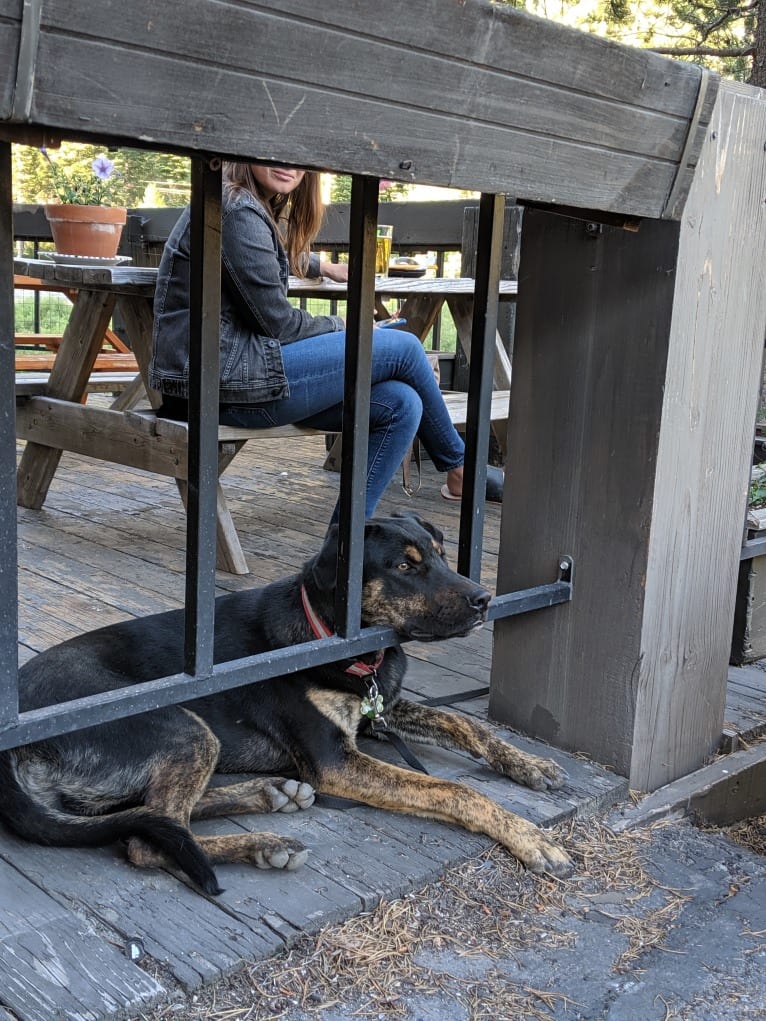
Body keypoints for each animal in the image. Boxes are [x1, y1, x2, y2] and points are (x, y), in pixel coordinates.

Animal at [0, 514, 571, 890]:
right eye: (406, 567)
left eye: (440, 554)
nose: (484, 600)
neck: (344, 645)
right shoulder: (336, 760)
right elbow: (453, 789)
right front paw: (527, 835)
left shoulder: (378, 712)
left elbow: (465, 724)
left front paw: (531, 764)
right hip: (181, 727)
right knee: (151, 836)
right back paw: (263, 842)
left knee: (147, 815)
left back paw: (270, 792)